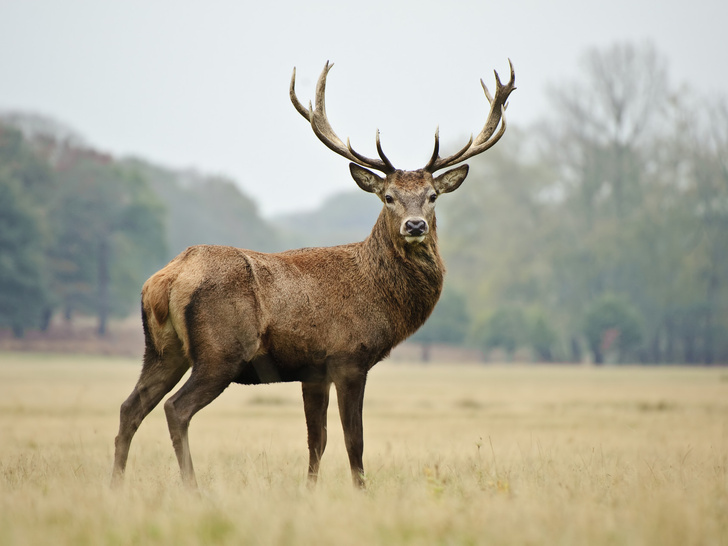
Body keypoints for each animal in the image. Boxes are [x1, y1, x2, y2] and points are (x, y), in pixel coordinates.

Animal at [111, 60, 516, 488]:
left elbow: (316, 441)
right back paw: (192, 487)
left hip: (162, 349)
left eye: (432, 196)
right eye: (388, 197)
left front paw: (309, 490)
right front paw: (361, 490)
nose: (416, 225)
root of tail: (166, 279)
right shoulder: (349, 357)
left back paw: (116, 484)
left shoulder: (313, 370)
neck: (379, 295)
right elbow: (354, 440)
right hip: (221, 351)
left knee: (130, 407)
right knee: (176, 408)